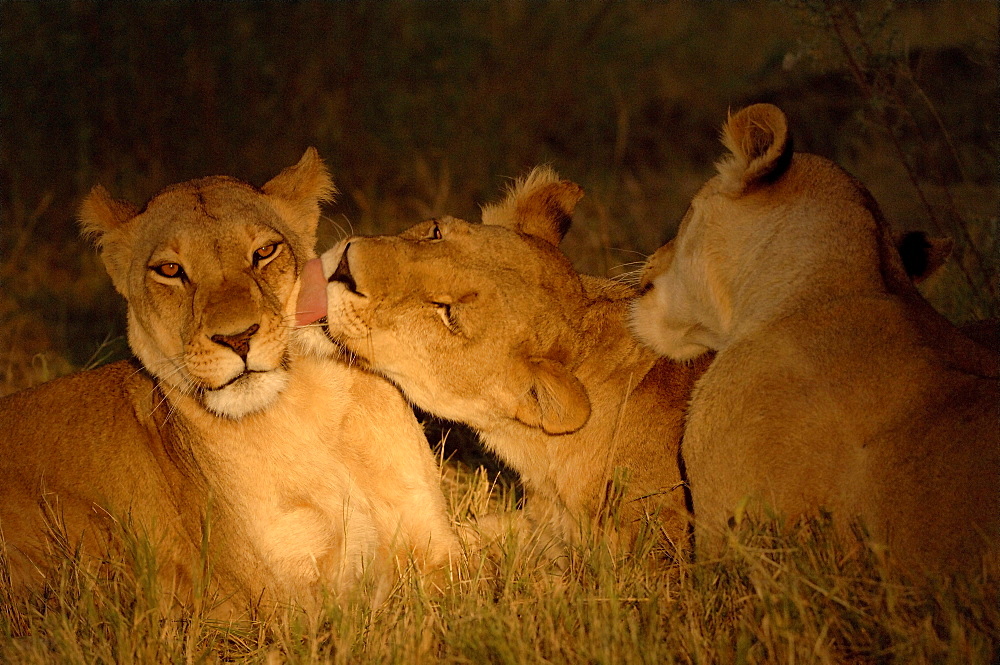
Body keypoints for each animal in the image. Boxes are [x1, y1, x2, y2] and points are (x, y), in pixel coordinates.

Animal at [0, 148, 458, 608]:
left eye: (265, 251)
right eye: (170, 269)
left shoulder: (437, 548)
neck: (308, 415)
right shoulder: (281, 601)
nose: (237, 338)